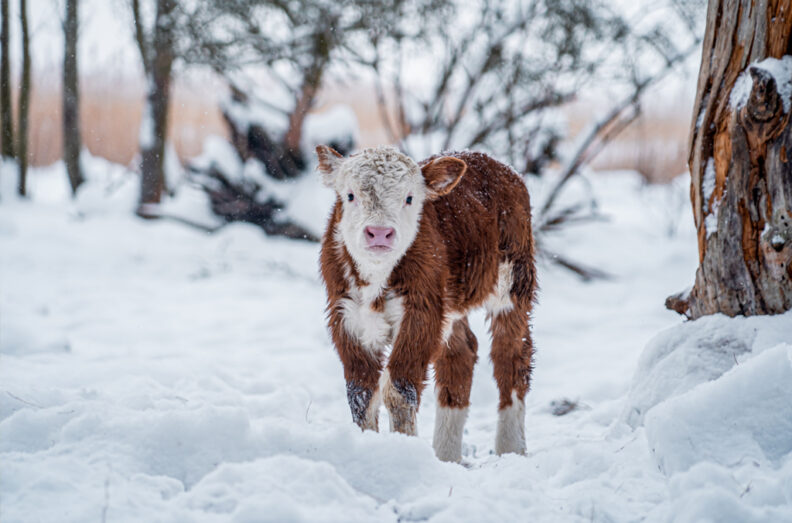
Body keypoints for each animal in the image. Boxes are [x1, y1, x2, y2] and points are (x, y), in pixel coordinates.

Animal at [317, 145, 536, 462]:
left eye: (409, 198)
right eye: (350, 195)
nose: (379, 233)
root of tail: (492, 161)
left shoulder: (422, 311)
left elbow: (399, 389)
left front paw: (401, 450)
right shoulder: (346, 314)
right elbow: (361, 392)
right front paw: (368, 447)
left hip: (514, 277)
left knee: (512, 354)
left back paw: (511, 448)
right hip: (452, 304)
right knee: (461, 353)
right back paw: (446, 456)